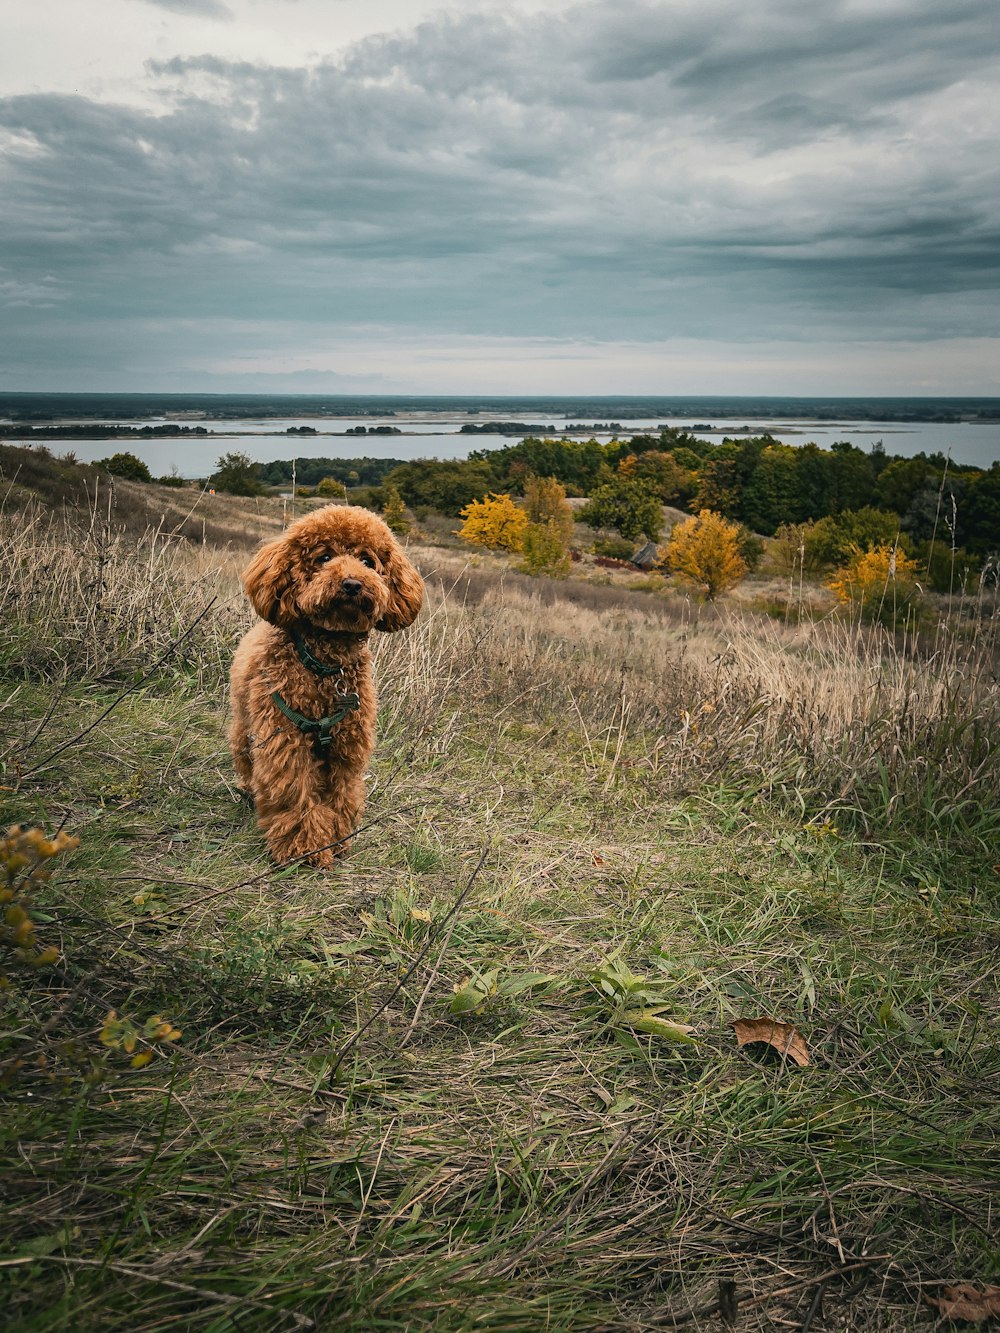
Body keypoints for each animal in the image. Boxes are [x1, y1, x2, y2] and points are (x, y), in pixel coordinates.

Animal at [230, 501, 424, 863]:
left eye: (368, 561)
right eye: (324, 557)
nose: (352, 584)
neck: (325, 666)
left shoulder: (347, 744)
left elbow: (341, 793)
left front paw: (336, 838)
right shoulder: (284, 740)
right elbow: (294, 792)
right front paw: (306, 847)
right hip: (245, 724)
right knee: (245, 758)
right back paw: (248, 789)